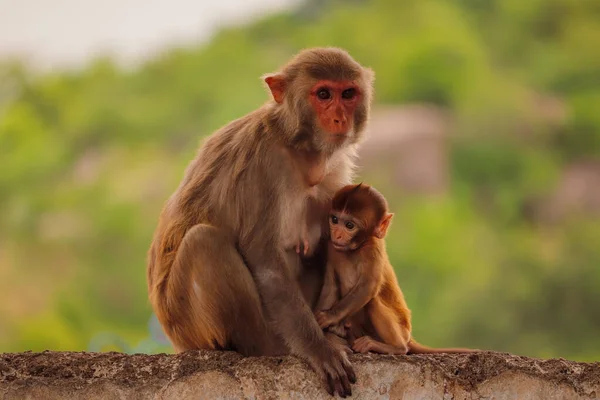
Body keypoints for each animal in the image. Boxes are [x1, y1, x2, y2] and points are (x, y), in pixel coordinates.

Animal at [148, 47, 372, 396]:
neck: (297, 147)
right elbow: (267, 263)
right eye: (323, 94)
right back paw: (267, 347)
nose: (339, 118)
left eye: (348, 94)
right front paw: (319, 349)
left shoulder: (333, 172)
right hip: (188, 324)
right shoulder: (261, 165)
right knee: (204, 242)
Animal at [314, 183, 478, 354]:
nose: (337, 234)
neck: (354, 249)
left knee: (373, 301)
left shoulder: (373, 249)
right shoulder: (331, 247)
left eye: (349, 225)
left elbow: (368, 286)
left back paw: (395, 347)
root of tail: (409, 338)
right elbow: (331, 285)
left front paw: (329, 317)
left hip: (401, 331)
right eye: (334, 220)